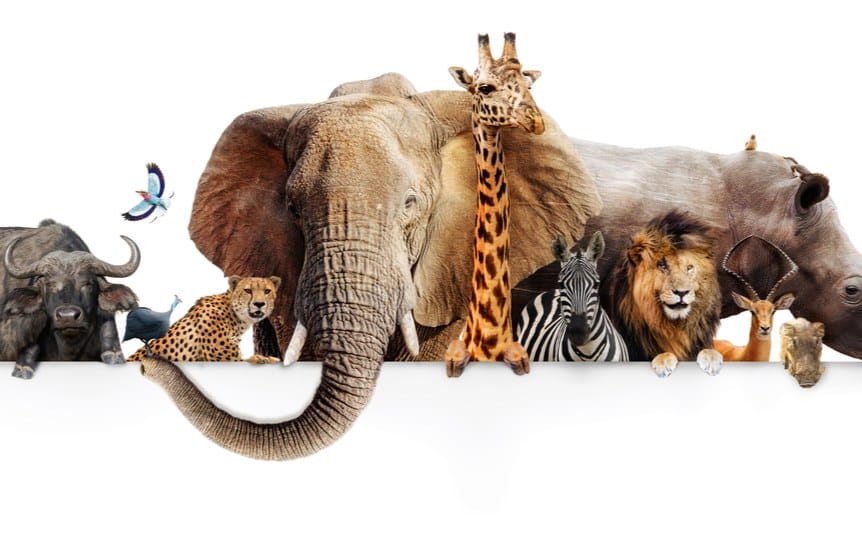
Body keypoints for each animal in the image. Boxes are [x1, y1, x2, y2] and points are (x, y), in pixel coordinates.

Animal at [605, 210, 723, 377]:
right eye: (662, 265)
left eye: (689, 267)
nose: (682, 292)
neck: (673, 327)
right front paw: (663, 360)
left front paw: (712, 358)